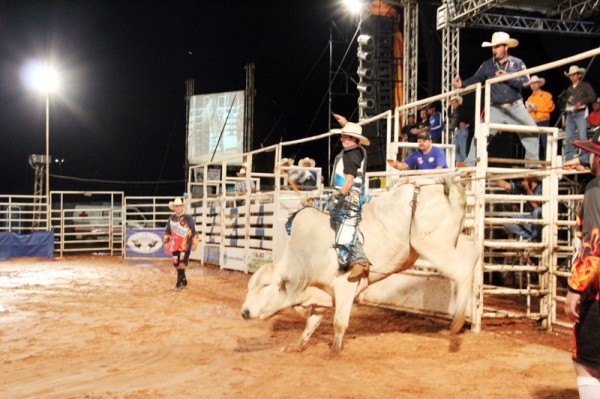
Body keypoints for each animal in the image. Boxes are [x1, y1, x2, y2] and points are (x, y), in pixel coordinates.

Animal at [241, 178, 480, 354]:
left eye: (266, 285)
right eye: (250, 286)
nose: (244, 312)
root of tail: (444, 185)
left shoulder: (345, 286)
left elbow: (339, 322)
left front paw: (334, 351)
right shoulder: (322, 293)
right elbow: (311, 323)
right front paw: (297, 345)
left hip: (431, 244)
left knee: (462, 269)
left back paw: (458, 320)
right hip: (449, 241)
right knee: (472, 250)